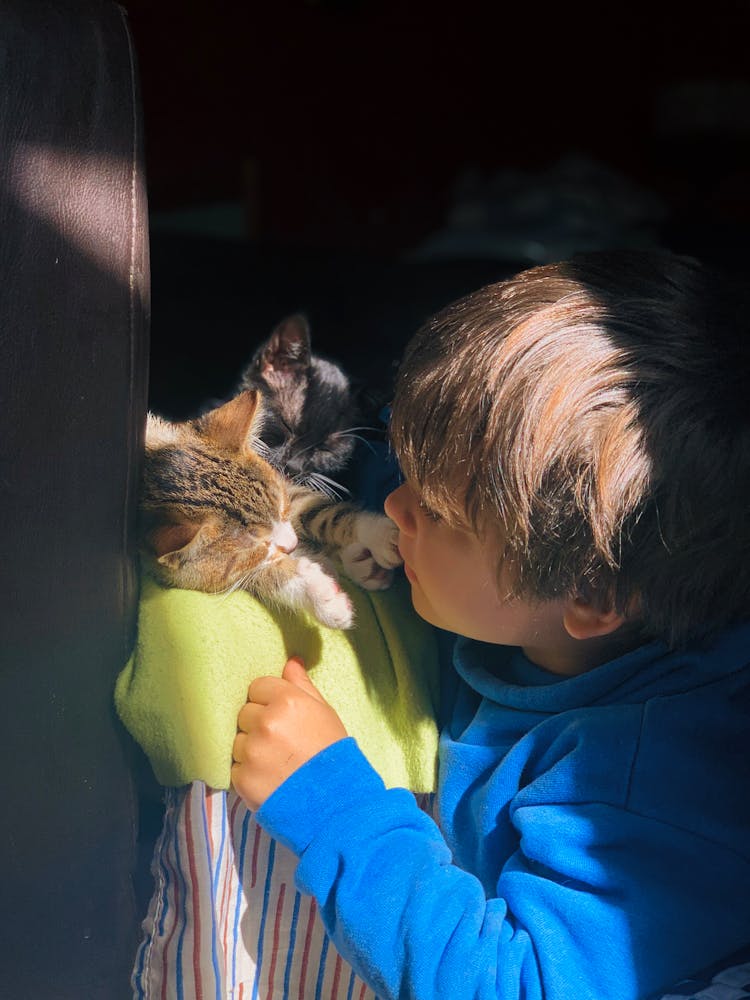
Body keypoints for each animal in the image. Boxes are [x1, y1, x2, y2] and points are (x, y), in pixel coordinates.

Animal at [138, 388, 402, 628]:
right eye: (256, 545)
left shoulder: (290, 492)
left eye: (282, 507)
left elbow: (316, 511)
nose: (292, 544)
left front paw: (378, 533)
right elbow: (256, 572)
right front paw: (317, 592)